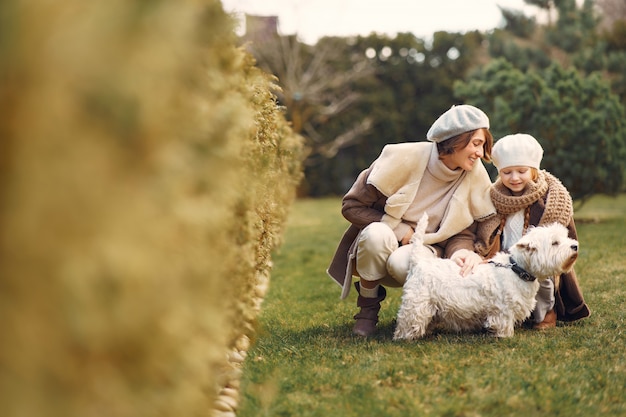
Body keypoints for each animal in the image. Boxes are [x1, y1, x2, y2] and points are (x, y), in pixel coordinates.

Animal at [392, 213, 576, 340]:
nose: (575, 246)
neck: (517, 269)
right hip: (417, 301)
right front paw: (505, 336)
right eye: (555, 243)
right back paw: (404, 337)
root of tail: (418, 261)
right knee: (408, 319)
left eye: (565, 237)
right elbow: (504, 323)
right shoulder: (503, 309)